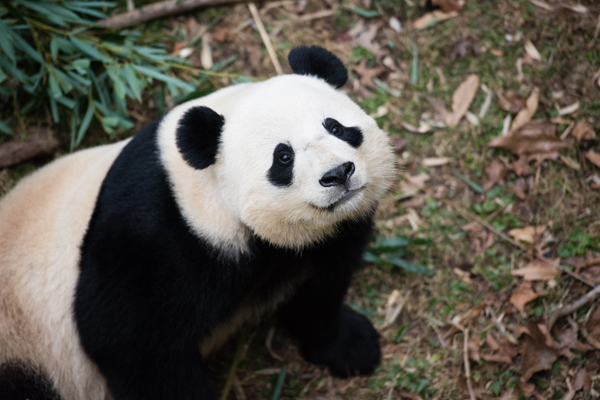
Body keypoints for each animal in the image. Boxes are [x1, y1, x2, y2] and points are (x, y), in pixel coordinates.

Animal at [1, 47, 398, 400]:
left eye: (336, 127)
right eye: (283, 157)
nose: (338, 173)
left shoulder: (321, 242)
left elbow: (318, 290)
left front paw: (351, 346)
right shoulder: (150, 241)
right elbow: (132, 344)